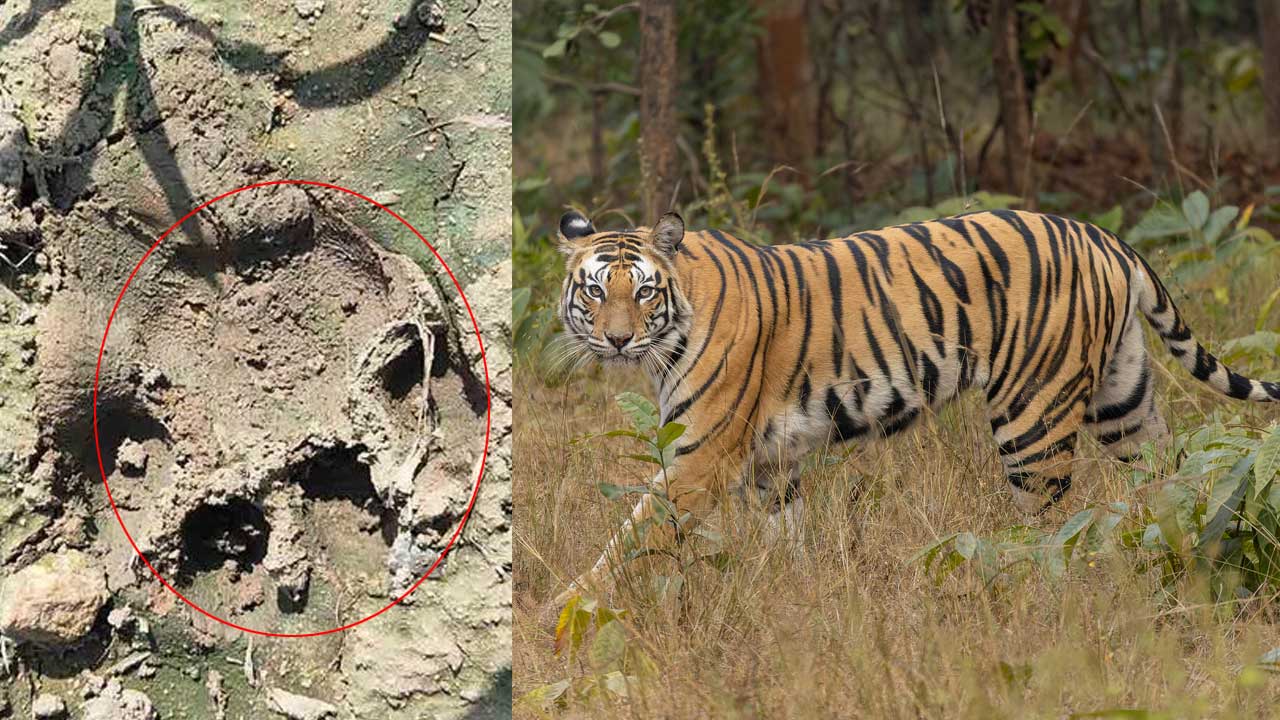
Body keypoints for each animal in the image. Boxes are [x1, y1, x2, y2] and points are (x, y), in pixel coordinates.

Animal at [553, 207, 1280, 602]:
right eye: (595, 290)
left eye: (644, 292)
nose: (616, 339)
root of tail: (1104, 237)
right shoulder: (771, 466)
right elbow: (788, 541)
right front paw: (803, 597)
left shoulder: (699, 459)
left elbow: (626, 543)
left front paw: (560, 617)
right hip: (1123, 402)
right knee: (1173, 483)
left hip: (1033, 420)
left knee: (1049, 529)